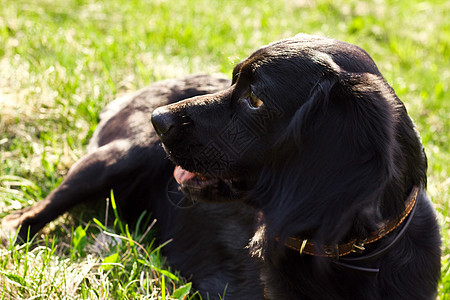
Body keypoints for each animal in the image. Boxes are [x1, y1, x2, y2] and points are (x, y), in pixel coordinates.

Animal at [1, 34, 442, 298]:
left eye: (255, 100)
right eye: (232, 81)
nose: (158, 119)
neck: (355, 254)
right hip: (118, 157)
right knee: (25, 215)